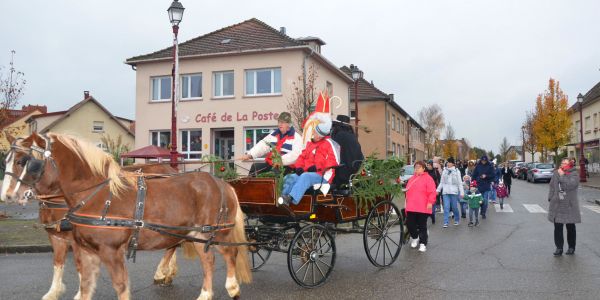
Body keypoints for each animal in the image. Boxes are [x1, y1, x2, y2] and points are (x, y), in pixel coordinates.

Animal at [0, 134, 251, 300]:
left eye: (24, 161)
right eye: (7, 160)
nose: (8, 196)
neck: (97, 194)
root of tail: (222, 183)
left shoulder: (111, 252)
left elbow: (120, 287)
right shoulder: (81, 248)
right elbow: (79, 281)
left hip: (214, 232)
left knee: (230, 253)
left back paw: (230, 287)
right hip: (196, 234)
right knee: (207, 259)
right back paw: (203, 292)